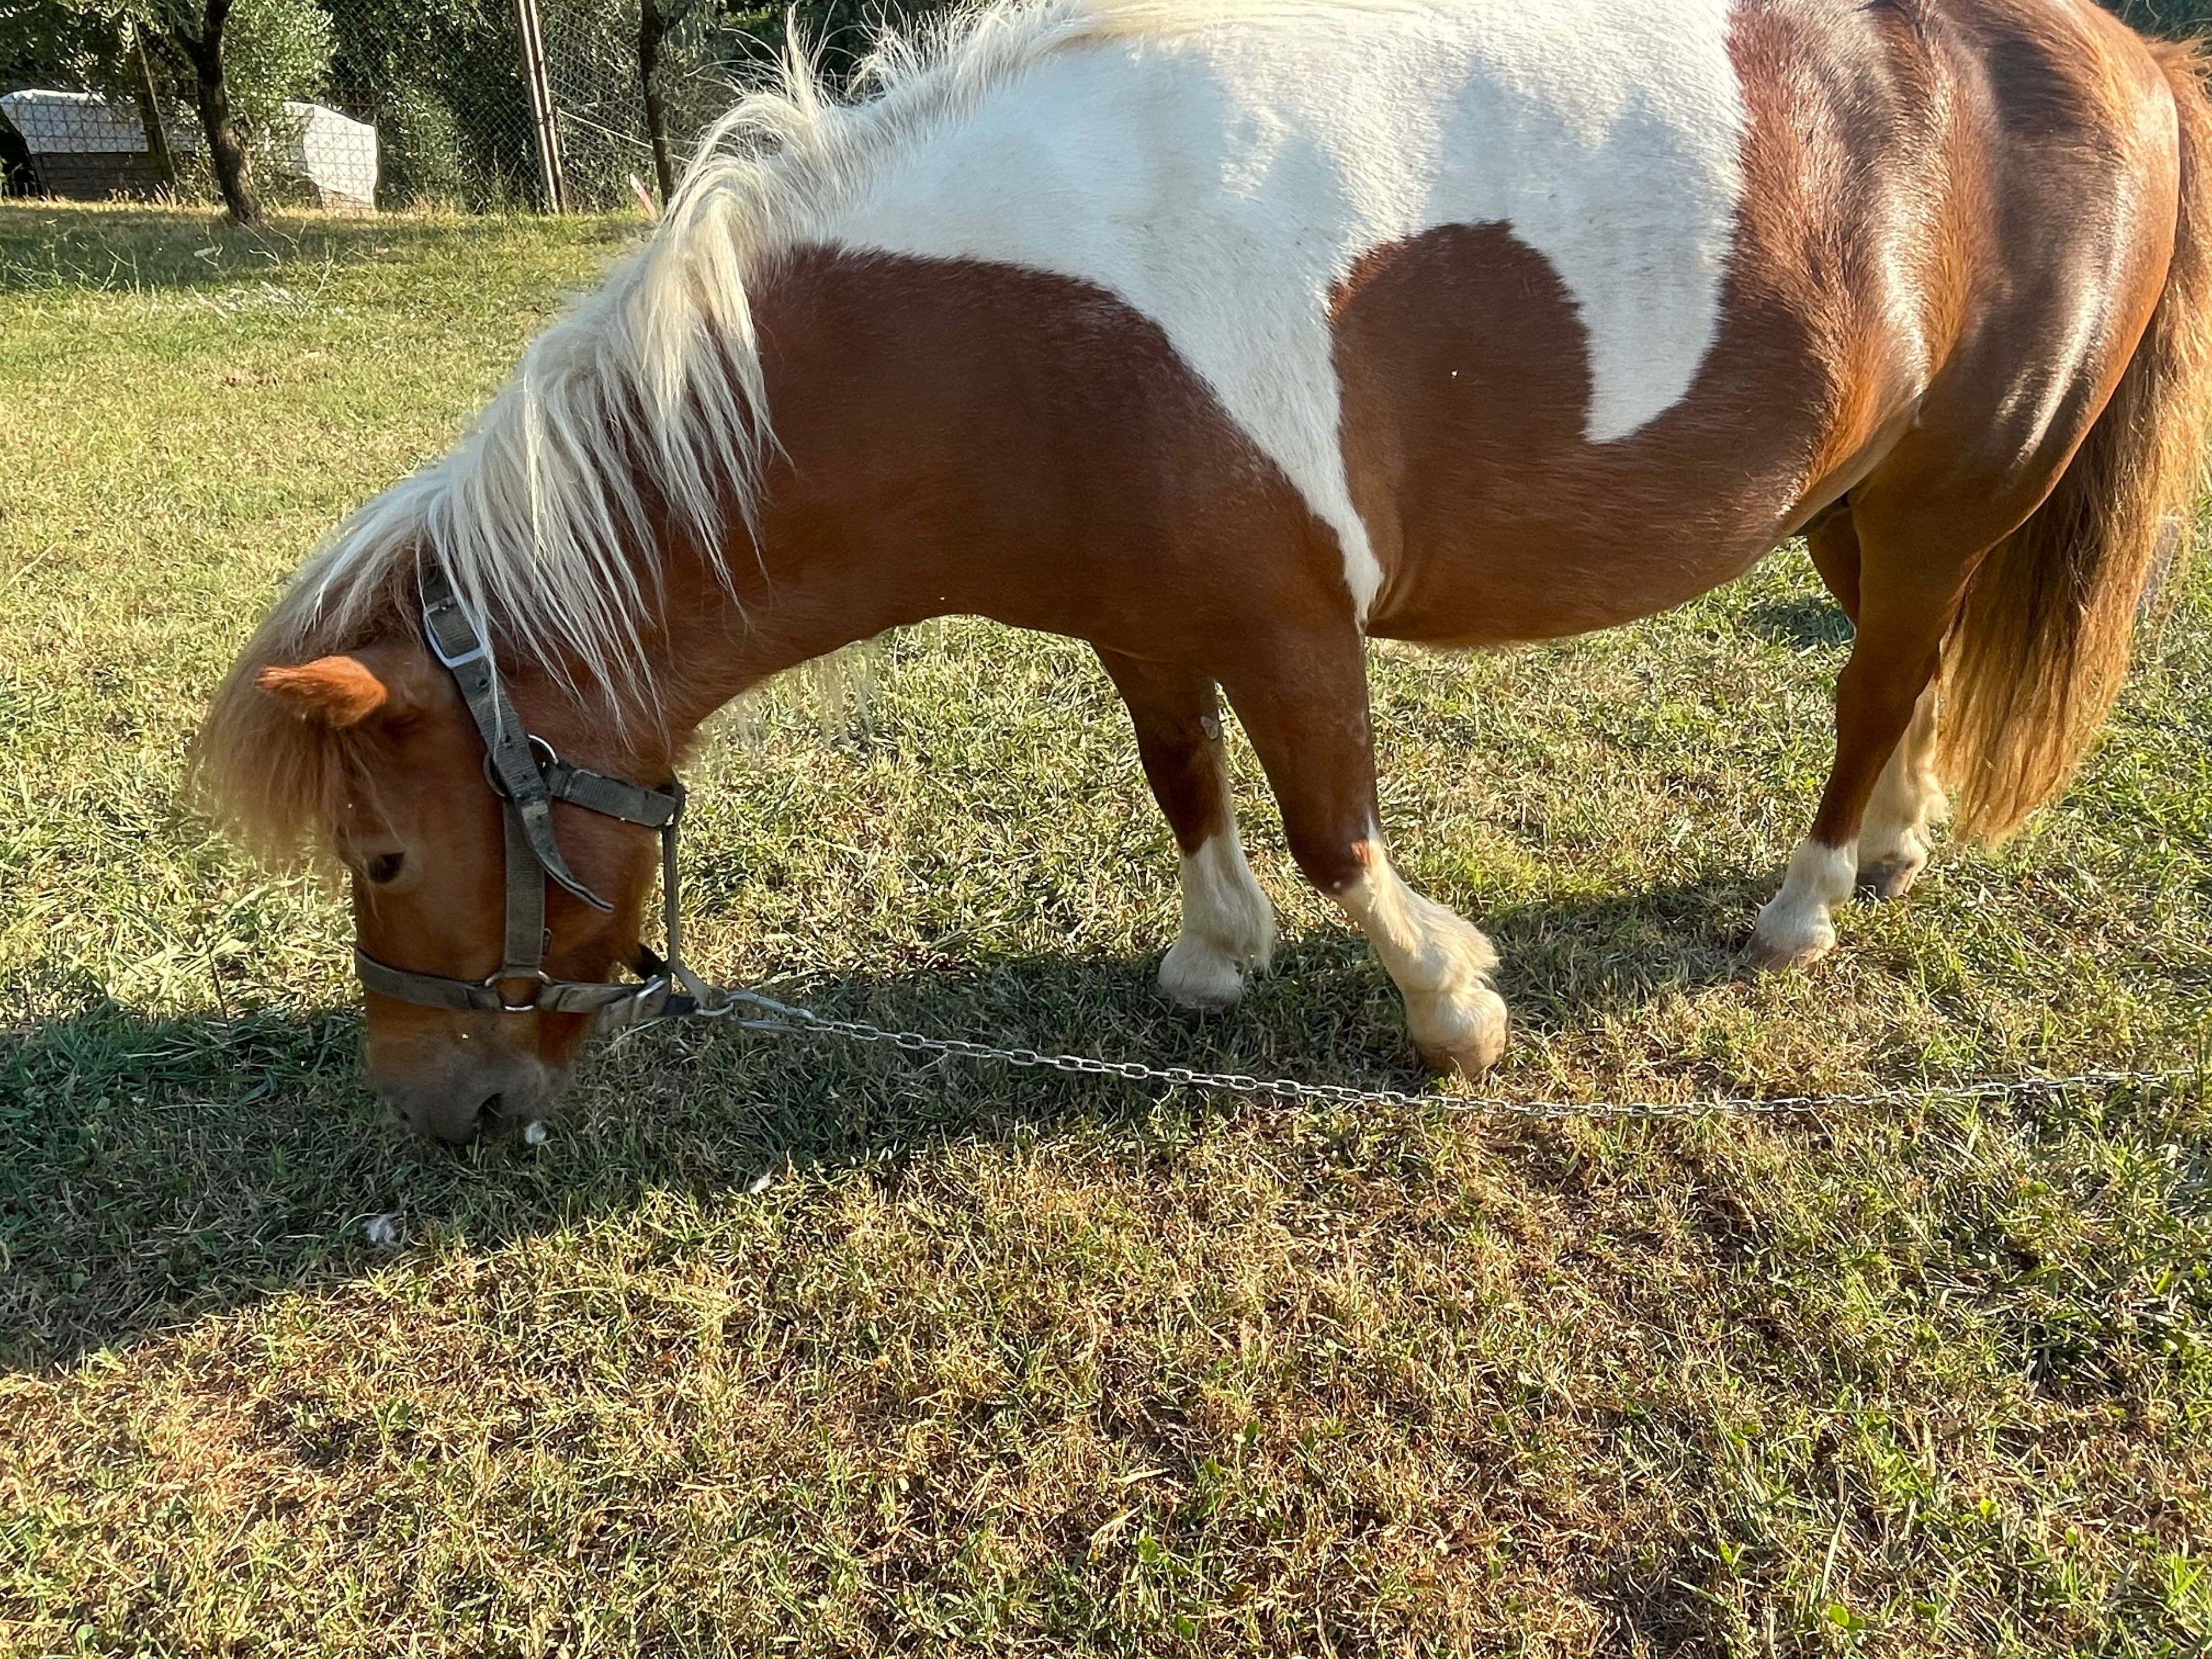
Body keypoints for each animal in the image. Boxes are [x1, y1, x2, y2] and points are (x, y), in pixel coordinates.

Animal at [198, 0, 2212, 1143]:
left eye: (384, 857)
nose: (440, 1114)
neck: (1014, 322)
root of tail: (2129, 54)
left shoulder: (1289, 618)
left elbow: (1335, 831)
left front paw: (1451, 1009)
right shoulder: (1145, 620)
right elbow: (1185, 784)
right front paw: (1208, 957)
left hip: (1951, 489)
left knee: (1876, 683)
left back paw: (1802, 905)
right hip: (1856, 500)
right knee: (1909, 666)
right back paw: (1891, 849)